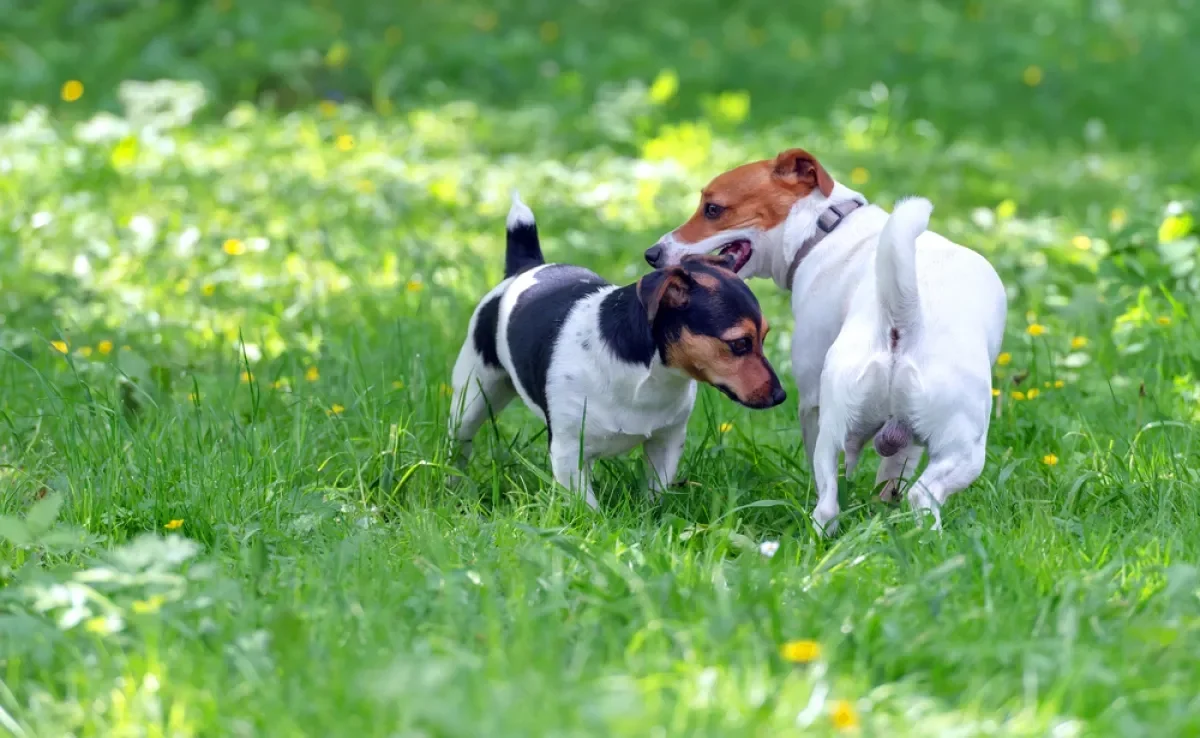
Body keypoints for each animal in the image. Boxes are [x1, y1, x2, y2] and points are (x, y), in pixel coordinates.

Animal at [451, 194, 787, 508]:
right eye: (740, 343)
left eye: (764, 337)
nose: (781, 396)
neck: (650, 377)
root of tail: (527, 267)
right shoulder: (568, 452)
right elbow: (587, 509)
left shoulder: (666, 442)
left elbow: (655, 494)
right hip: (472, 397)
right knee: (461, 442)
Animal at [643, 148, 1008, 530]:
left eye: (712, 209)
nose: (652, 254)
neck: (825, 227)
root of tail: (905, 317)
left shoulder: (815, 405)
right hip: (950, 447)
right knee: (907, 496)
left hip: (861, 430)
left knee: (845, 501)